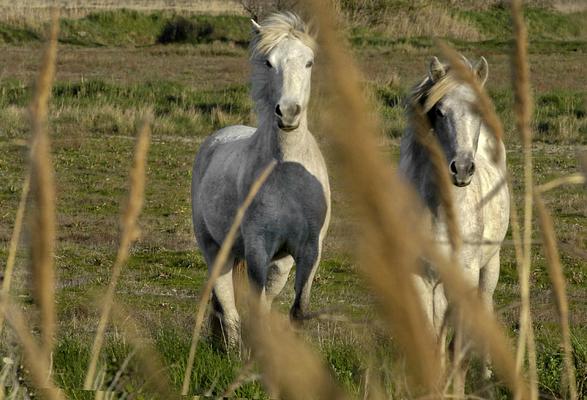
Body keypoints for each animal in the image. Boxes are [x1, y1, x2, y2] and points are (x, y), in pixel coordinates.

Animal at [193, 10, 330, 346]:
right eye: (269, 62)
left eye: (309, 62)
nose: (289, 112)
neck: (285, 171)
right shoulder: (257, 247)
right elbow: (252, 308)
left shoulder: (309, 251)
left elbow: (298, 310)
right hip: (216, 249)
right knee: (228, 306)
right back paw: (230, 349)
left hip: (278, 263)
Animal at [400, 55, 510, 378]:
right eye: (439, 111)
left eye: (478, 110)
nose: (461, 169)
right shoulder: (419, 276)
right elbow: (431, 336)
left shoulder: (465, 275)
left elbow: (455, 340)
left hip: (490, 265)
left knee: (485, 305)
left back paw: (485, 373)